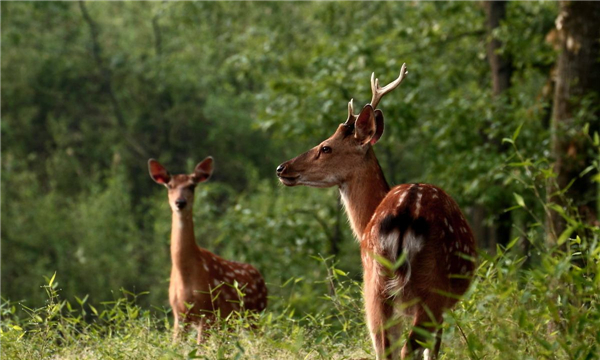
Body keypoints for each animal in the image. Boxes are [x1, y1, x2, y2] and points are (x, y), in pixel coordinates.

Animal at [148, 158, 268, 344]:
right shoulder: (179, 315)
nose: (180, 202)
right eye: (169, 186)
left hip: (254, 314)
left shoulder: (209, 310)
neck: (187, 275)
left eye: (192, 186)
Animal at [276, 63, 478, 358]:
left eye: (326, 147)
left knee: (386, 347)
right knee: (407, 348)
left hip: (375, 285)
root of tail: (405, 214)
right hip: (427, 289)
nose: (282, 168)